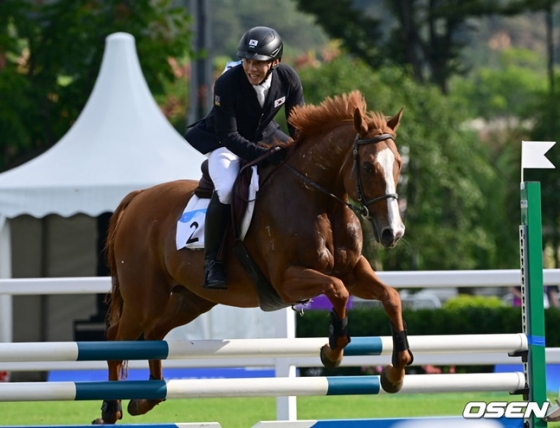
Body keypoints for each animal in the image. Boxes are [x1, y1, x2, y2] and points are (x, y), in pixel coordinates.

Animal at [94, 91, 414, 424]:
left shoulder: (353, 271)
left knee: (155, 334)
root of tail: (137, 198)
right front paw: (332, 351)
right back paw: (110, 408)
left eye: (398, 164)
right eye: (368, 166)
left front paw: (396, 371)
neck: (320, 201)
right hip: (144, 299)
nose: (393, 232)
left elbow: (390, 296)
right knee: (117, 339)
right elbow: (337, 292)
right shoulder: (288, 280)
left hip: (191, 298)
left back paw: (146, 398)